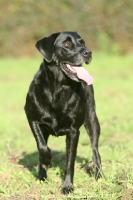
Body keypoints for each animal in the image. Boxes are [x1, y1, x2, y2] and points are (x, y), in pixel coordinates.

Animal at [24, 31, 103, 194]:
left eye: (82, 42)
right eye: (66, 44)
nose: (88, 52)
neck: (59, 87)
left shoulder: (73, 131)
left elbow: (70, 162)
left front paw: (67, 186)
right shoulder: (32, 118)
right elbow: (42, 147)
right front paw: (46, 161)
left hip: (92, 120)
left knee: (95, 151)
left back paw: (100, 177)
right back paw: (42, 177)